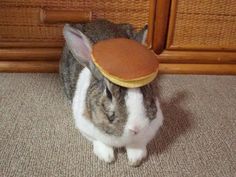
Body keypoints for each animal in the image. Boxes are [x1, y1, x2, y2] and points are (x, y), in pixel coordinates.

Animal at [59, 20, 162, 167]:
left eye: (147, 88)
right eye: (108, 93)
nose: (136, 128)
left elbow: (138, 143)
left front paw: (135, 158)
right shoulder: (85, 126)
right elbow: (99, 141)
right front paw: (106, 156)